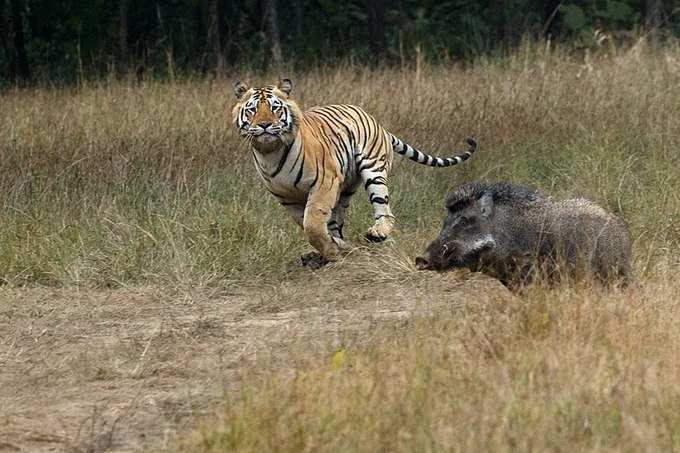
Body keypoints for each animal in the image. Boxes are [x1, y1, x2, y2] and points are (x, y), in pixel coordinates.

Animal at [231, 79, 476, 266]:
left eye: (275, 107)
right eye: (252, 109)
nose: (264, 125)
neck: (269, 152)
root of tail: (378, 123)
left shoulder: (324, 182)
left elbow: (312, 224)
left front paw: (331, 252)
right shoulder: (287, 198)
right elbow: (310, 224)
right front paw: (332, 249)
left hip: (373, 170)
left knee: (384, 209)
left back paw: (378, 233)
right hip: (346, 188)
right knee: (337, 221)